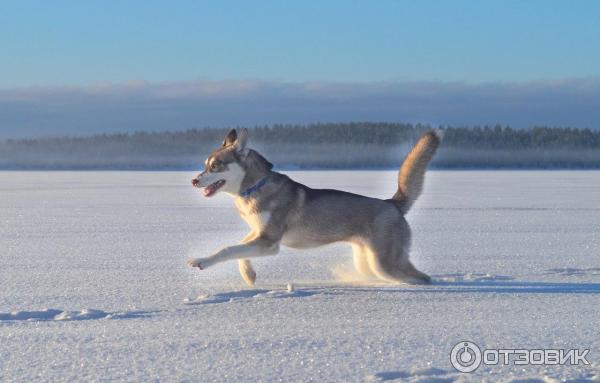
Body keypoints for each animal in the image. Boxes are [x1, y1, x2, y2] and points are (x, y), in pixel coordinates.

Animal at [189, 128, 440, 284]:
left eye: (215, 166)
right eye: (205, 165)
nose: (193, 180)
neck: (254, 187)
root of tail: (393, 204)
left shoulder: (269, 242)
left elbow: (228, 249)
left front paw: (201, 261)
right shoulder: (259, 233)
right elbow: (239, 248)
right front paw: (249, 274)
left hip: (384, 263)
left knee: (421, 277)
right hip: (366, 261)